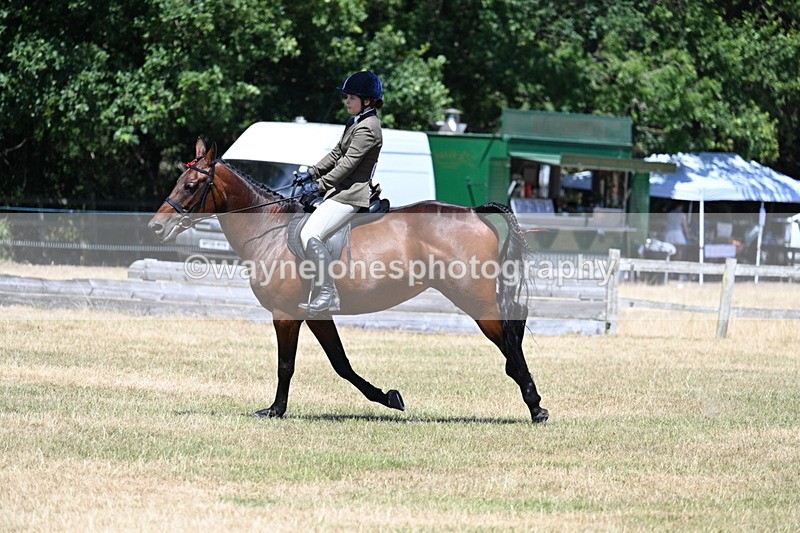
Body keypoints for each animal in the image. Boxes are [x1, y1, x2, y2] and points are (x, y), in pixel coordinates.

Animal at [148, 139, 549, 423]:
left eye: (192, 184)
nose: (156, 227)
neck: (268, 230)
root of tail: (473, 212)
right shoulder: (315, 313)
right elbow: (341, 363)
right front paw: (388, 398)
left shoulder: (285, 313)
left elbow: (285, 365)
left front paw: (274, 410)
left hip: (475, 300)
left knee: (509, 340)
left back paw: (535, 405)